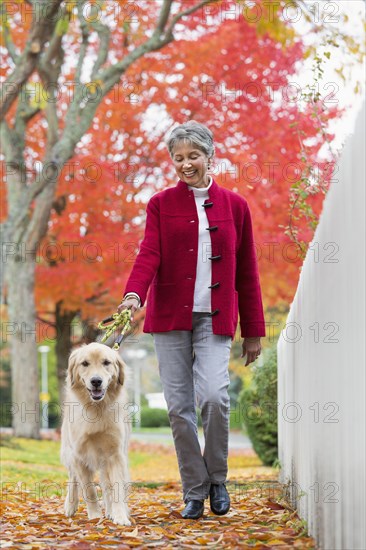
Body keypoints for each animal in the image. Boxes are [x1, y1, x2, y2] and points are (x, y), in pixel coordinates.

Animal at [61, 342, 132, 528]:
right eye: (85, 363)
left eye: (106, 362)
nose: (96, 381)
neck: (96, 409)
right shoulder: (79, 455)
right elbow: (89, 490)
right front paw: (94, 516)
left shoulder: (115, 454)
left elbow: (115, 489)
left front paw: (120, 516)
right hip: (68, 450)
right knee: (73, 478)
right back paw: (70, 506)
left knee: (107, 486)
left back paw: (110, 511)